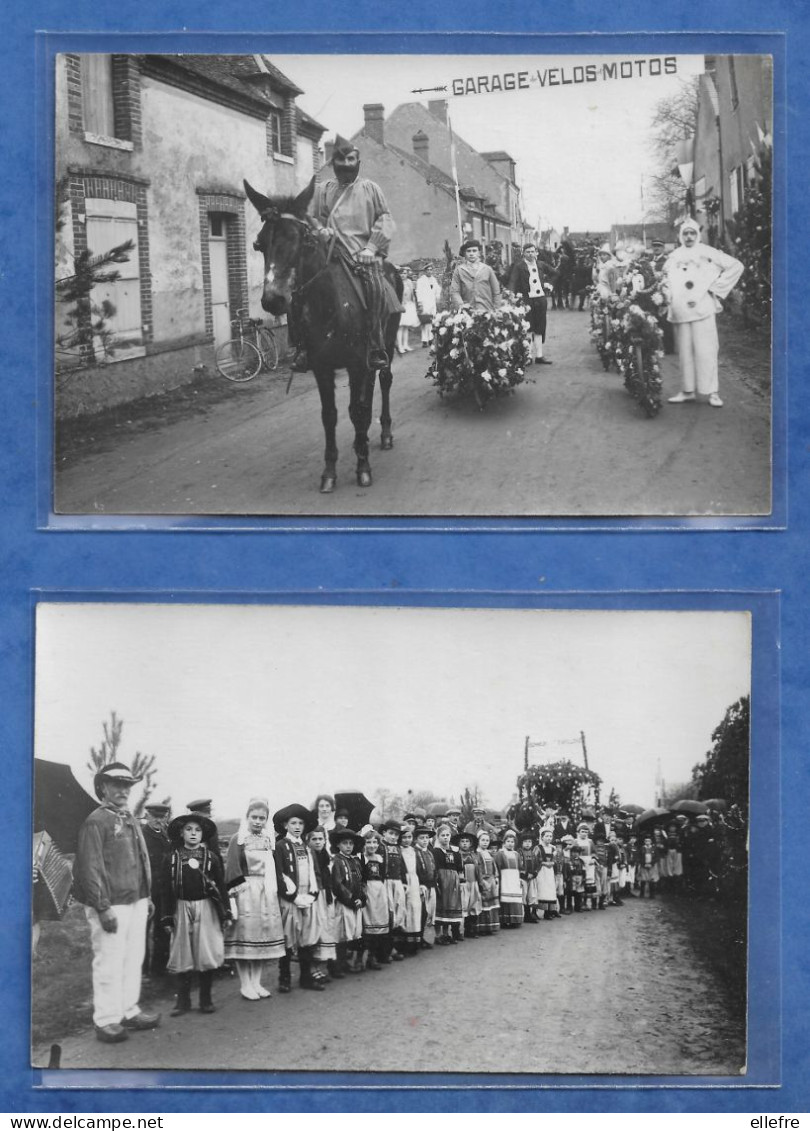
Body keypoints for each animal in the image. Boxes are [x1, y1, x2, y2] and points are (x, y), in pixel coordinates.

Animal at [243, 175, 402, 490]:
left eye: (303, 239)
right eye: (259, 244)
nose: (273, 300)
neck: (329, 305)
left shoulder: (357, 364)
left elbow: (358, 411)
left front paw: (363, 466)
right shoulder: (322, 367)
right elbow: (330, 416)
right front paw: (330, 471)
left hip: (386, 345)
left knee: (385, 382)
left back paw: (385, 434)